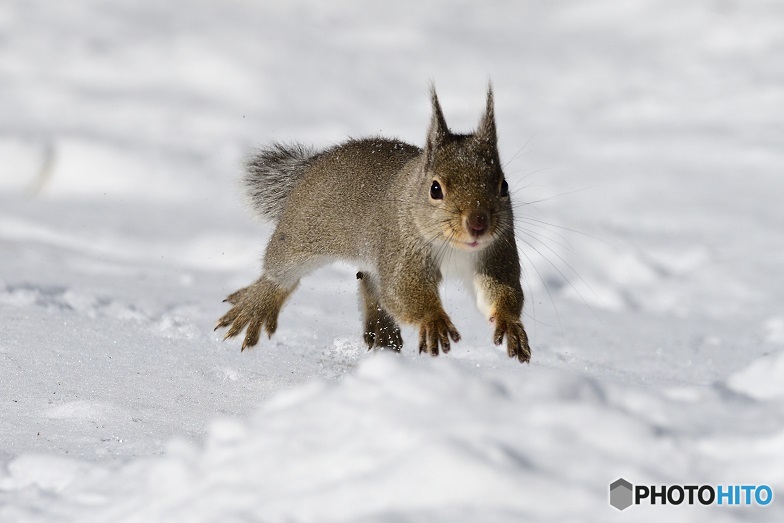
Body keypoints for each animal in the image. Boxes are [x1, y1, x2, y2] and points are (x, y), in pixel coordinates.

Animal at [217, 86, 528, 364]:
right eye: (435, 189)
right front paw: (434, 320)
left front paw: (510, 323)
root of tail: (313, 166)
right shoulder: (403, 249)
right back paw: (257, 306)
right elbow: (401, 291)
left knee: (369, 279)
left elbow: (500, 291)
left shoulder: (495, 254)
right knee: (280, 273)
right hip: (300, 233)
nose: (478, 224)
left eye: (504, 186)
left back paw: (382, 329)